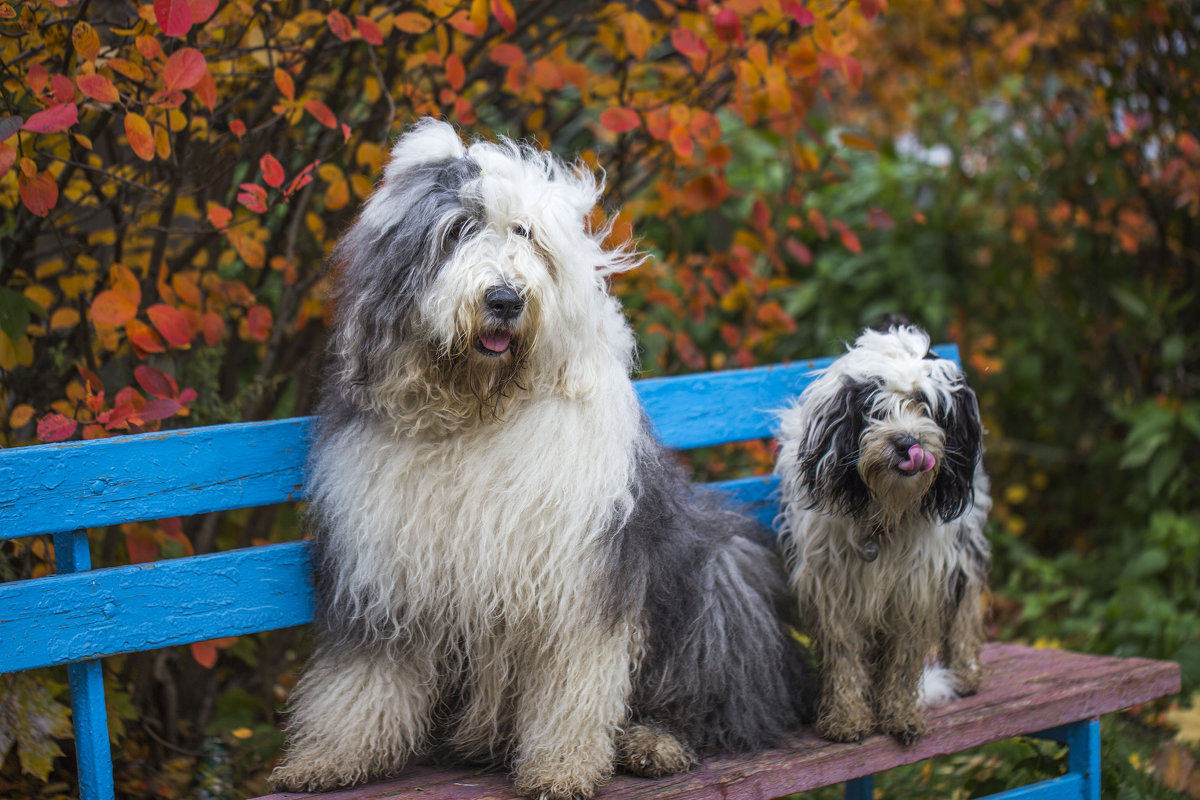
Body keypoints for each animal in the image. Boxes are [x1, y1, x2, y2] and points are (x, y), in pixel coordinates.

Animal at [274, 120, 806, 800]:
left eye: (526, 236)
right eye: (458, 229)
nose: (505, 299)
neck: (476, 413)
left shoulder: (578, 579)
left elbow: (571, 682)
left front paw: (562, 769)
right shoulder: (382, 573)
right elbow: (360, 676)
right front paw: (326, 760)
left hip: (721, 574)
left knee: (722, 701)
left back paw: (654, 742)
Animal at [772, 321, 988, 748]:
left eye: (926, 406)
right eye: (874, 407)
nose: (907, 443)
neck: (884, 511)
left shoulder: (913, 586)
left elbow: (903, 658)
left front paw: (899, 714)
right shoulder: (833, 584)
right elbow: (844, 654)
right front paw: (847, 715)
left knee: (966, 600)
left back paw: (966, 669)